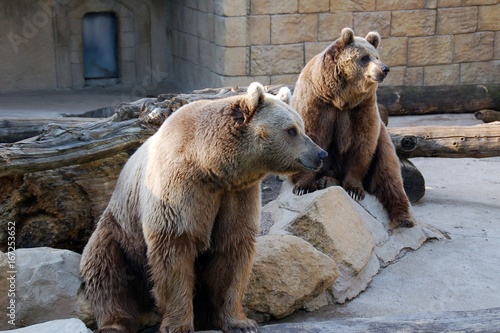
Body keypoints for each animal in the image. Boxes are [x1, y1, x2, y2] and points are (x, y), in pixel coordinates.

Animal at [80, 81, 326, 332]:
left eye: (301, 126)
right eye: (291, 130)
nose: (320, 153)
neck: (211, 166)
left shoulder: (236, 194)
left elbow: (232, 249)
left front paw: (241, 322)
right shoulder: (180, 187)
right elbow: (175, 247)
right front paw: (178, 325)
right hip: (119, 232)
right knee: (106, 272)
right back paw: (114, 323)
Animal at [292, 27, 416, 228]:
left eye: (377, 56)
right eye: (365, 57)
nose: (384, 68)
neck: (340, 97)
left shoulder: (362, 107)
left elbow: (361, 144)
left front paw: (354, 190)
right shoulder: (316, 101)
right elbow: (311, 136)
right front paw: (303, 186)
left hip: (383, 140)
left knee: (389, 173)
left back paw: (404, 218)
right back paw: (325, 181)